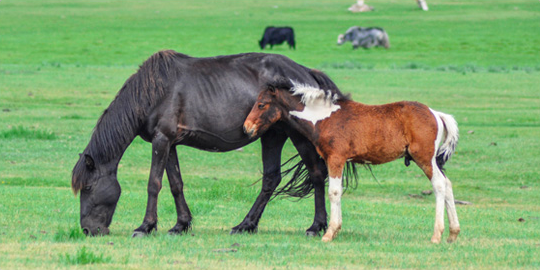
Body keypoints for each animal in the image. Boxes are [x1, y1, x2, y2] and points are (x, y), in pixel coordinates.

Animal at [71, 49, 344, 237]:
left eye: (88, 187)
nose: (87, 230)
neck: (153, 92)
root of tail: (307, 72)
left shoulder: (161, 140)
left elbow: (154, 184)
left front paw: (146, 226)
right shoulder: (169, 143)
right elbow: (176, 184)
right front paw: (180, 225)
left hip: (298, 136)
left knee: (316, 174)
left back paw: (315, 226)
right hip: (272, 135)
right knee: (271, 179)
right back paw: (246, 225)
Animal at [245, 79, 460, 244]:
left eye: (261, 104)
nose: (247, 127)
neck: (324, 118)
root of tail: (436, 113)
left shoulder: (336, 158)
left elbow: (333, 192)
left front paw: (329, 233)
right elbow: (337, 191)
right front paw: (335, 230)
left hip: (424, 158)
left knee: (439, 185)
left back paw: (437, 235)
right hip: (430, 160)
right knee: (448, 183)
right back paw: (453, 234)